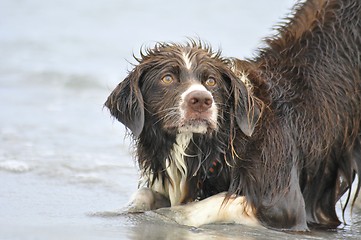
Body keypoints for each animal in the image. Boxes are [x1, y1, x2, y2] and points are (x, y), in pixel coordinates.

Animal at [105, 0, 360, 232]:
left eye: (211, 81)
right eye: (167, 78)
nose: (201, 100)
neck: (224, 142)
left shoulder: (285, 202)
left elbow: (195, 209)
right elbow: (144, 193)